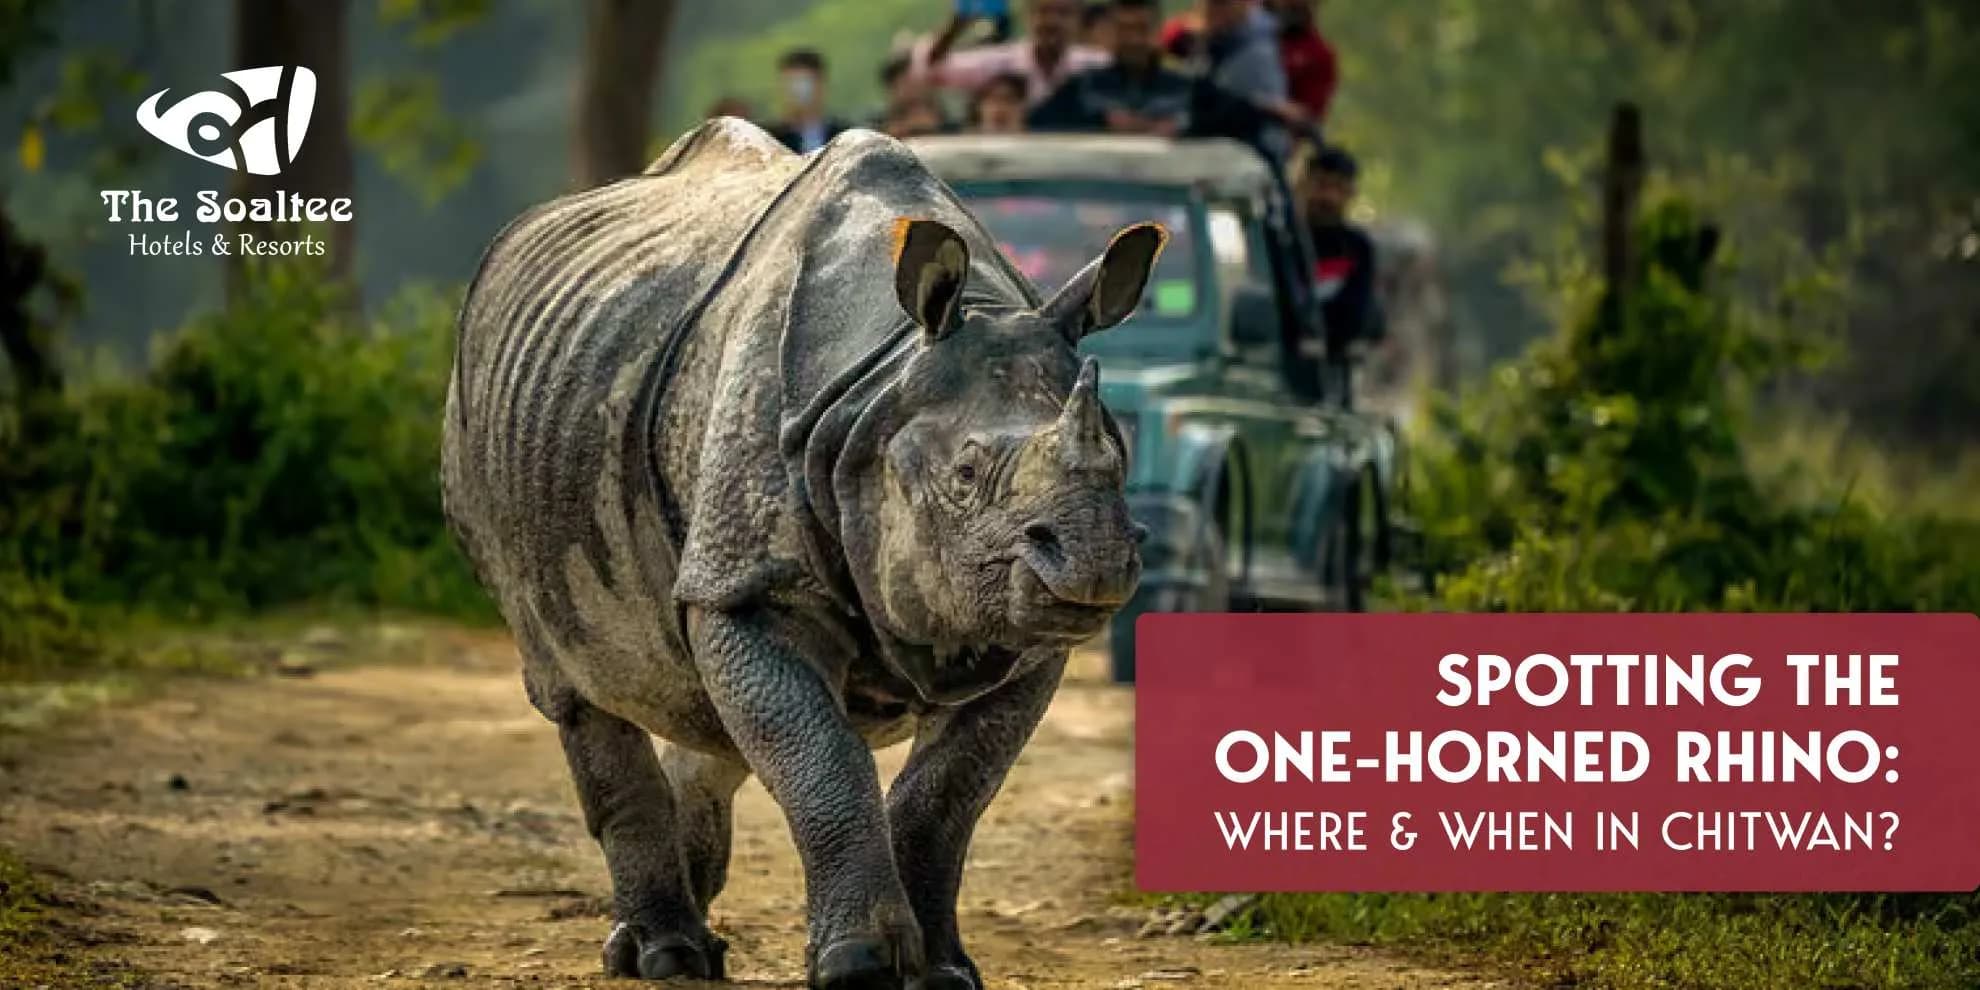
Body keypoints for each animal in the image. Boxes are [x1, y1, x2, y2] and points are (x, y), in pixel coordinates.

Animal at [441, 118, 1162, 989]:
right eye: (963, 476)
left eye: (1120, 459)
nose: (1093, 558)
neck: (884, 379)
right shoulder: (748, 581)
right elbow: (821, 757)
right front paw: (860, 967)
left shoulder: (1027, 638)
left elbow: (945, 797)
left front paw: (942, 973)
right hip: (479, 429)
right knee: (575, 683)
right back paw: (665, 958)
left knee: (703, 706)